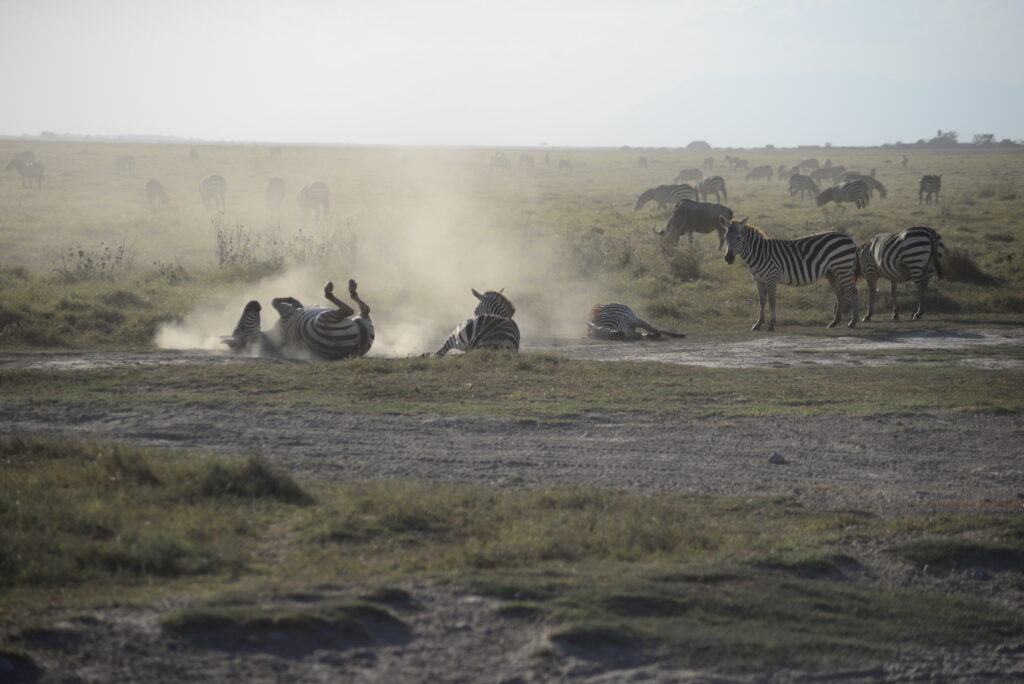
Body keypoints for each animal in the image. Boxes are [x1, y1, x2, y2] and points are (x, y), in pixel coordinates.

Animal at [222, 279, 374, 360]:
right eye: (240, 329)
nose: (253, 303)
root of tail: (355, 349)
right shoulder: (285, 315)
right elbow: (274, 301)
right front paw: (290, 300)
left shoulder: (288, 313)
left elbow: (285, 302)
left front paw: (292, 299)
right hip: (323, 321)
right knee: (350, 309)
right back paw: (332, 288)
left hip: (364, 323)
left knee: (364, 309)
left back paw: (352, 287)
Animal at [722, 217, 860, 330]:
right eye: (725, 238)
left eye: (738, 238)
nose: (728, 258)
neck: (760, 253)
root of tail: (848, 237)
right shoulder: (759, 281)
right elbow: (762, 301)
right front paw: (758, 324)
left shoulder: (771, 277)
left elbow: (772, 301)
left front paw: (771, 325)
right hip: (831, 271)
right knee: (839, 293)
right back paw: (834, 322)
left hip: (843, 267)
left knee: (853, 291)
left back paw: (853, 322)